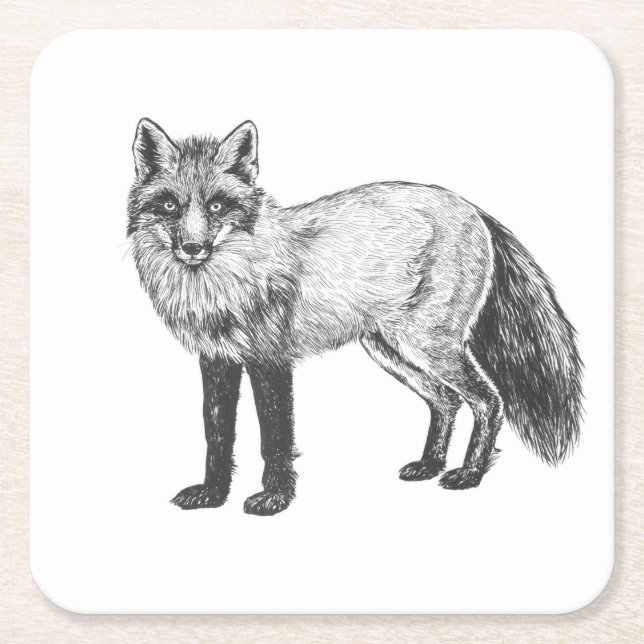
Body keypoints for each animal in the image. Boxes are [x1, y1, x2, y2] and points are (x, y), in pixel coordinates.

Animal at [127, 118, 583, 516]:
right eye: (169, 205)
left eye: (218, 205)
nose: (191, 248)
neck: (222, 286)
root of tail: (473, 208)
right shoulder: (217, 360)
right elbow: (217, 436)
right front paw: (212, 495)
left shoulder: (270, 360)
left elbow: (275, 439)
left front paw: (274, 499)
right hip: (389, 349)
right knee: (447, 400)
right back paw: (429, 465)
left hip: (430, 346)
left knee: (488, 400)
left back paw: (469, 474)